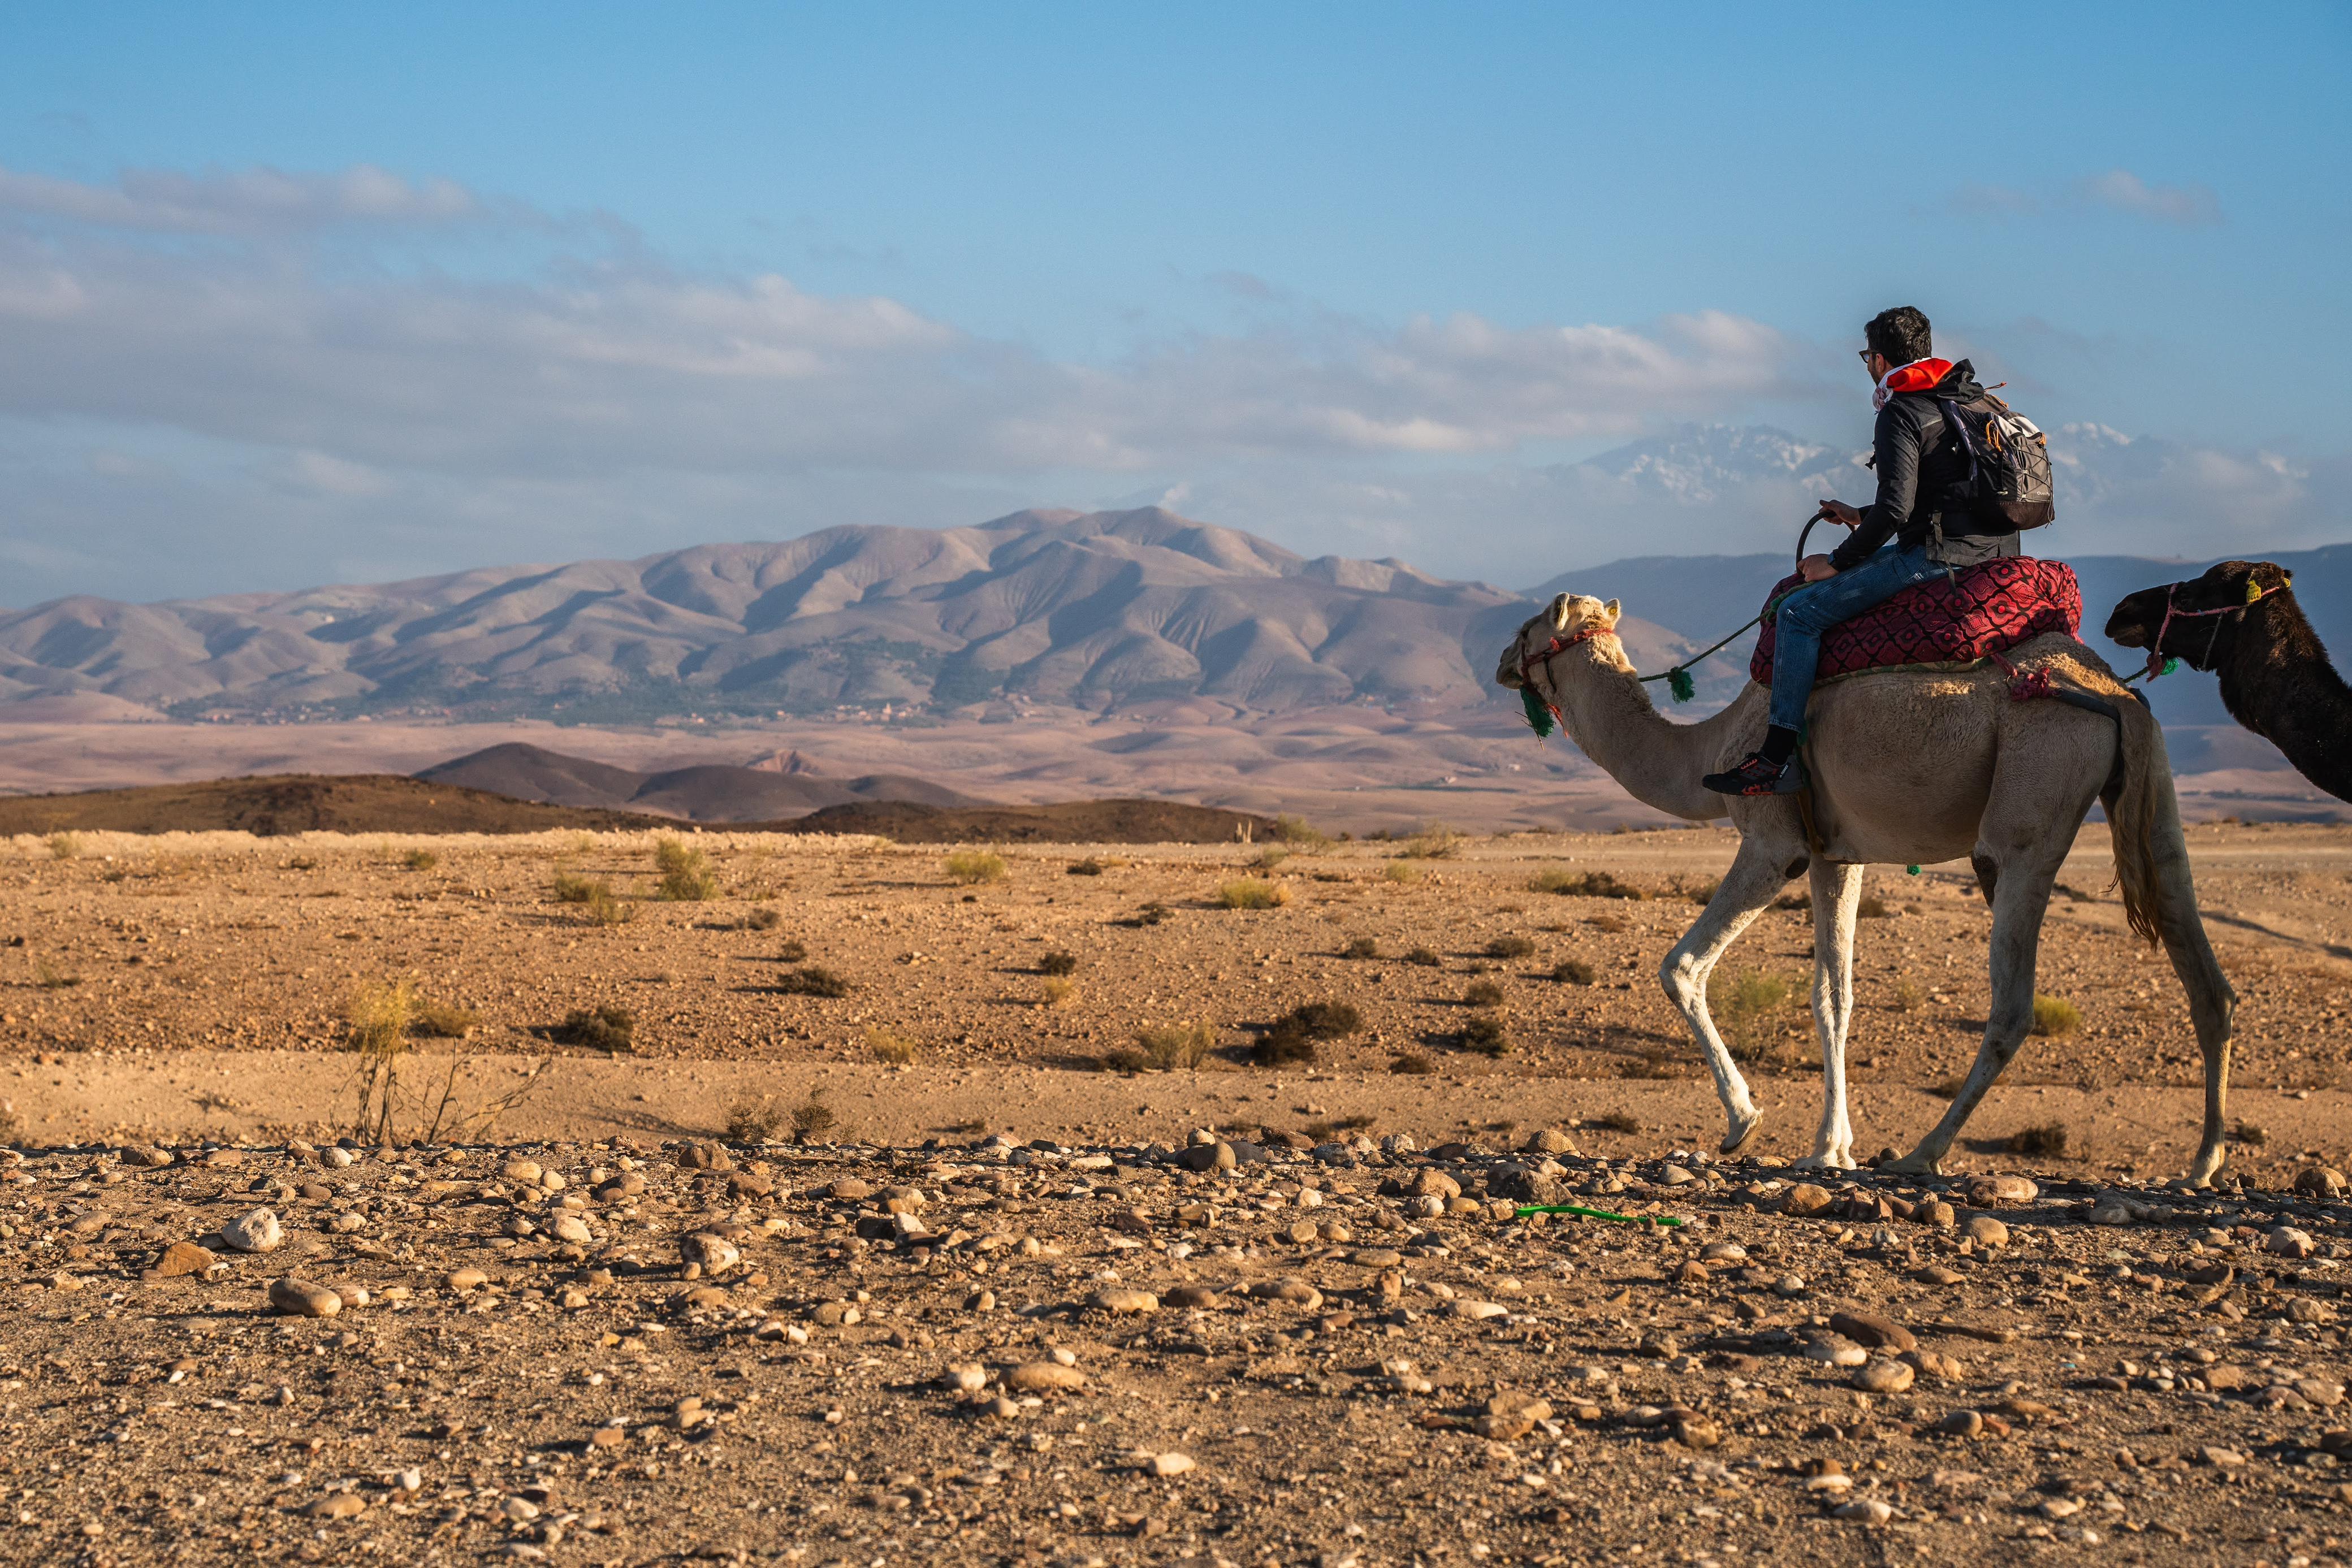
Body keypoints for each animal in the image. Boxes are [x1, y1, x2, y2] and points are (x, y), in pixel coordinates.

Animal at [1495, 592, 2239, 1183]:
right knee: (2204, 974)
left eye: (1529, 627)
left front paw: (1743, 1121)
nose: (1499, 658)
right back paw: (2200, 1163)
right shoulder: (1836, 856)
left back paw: (1922, 1152)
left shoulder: (1775, 844)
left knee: (2012, 1003)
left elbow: (1680, 967)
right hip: (2151, 795)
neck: (1705, 751)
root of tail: (2112, 691)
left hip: (2030, 808)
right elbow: (1833, 996)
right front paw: (1830, 1147)